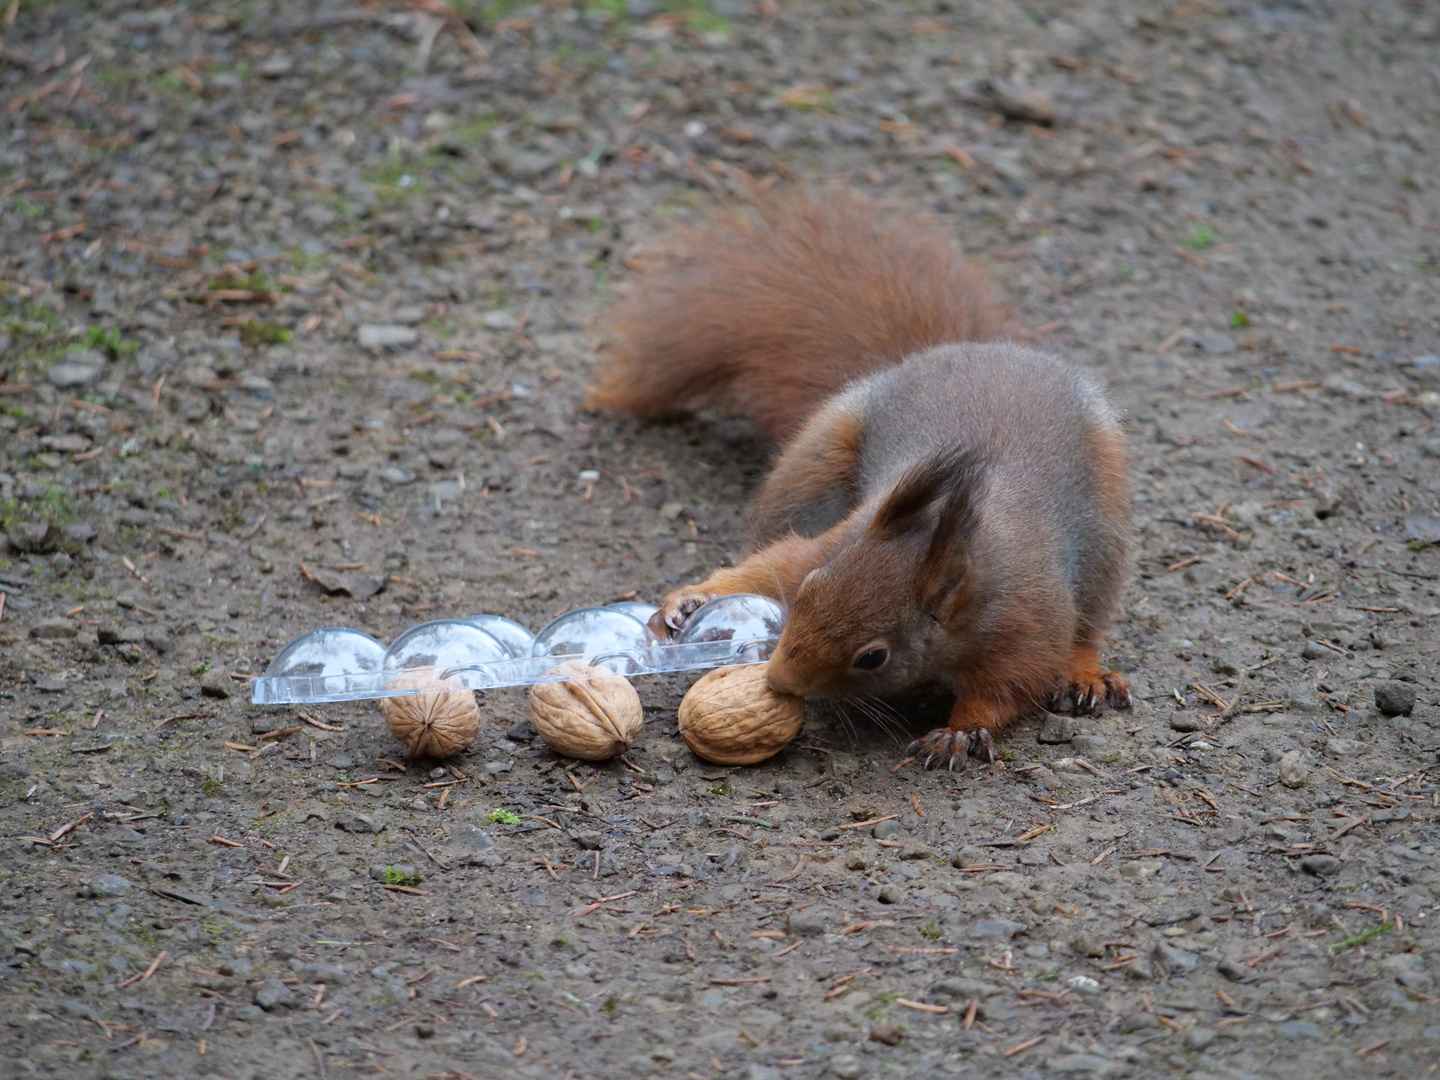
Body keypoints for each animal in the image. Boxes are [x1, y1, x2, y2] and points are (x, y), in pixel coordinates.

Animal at [584, 192, 1123, 771]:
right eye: (810, 590)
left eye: (872, 657)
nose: (778, 680)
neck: (946, 532)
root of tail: (967, 346)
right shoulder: (842, 537)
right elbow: (775, 565)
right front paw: (690, 599)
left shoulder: (1024, 623)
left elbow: (1012, 684)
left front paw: (959, 731)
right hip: (816, 461)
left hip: (1108, 527)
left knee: (1089, 623)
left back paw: (1086, 673)